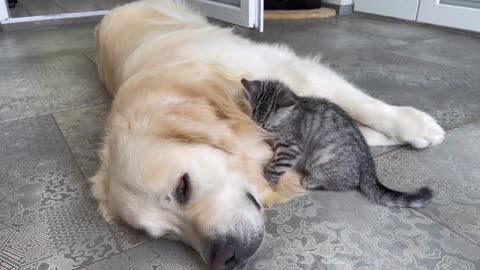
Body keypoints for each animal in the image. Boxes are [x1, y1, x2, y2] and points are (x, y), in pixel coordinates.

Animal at [242, 78, 434, 207]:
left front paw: (269, 181)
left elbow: (277, 166)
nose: (258, 131)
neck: (291, 115)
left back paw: (312, 181)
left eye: (266, 125)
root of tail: (367, 162)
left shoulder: (291, 147)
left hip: (323, 157)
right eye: (254, 120)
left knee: (346, 183)